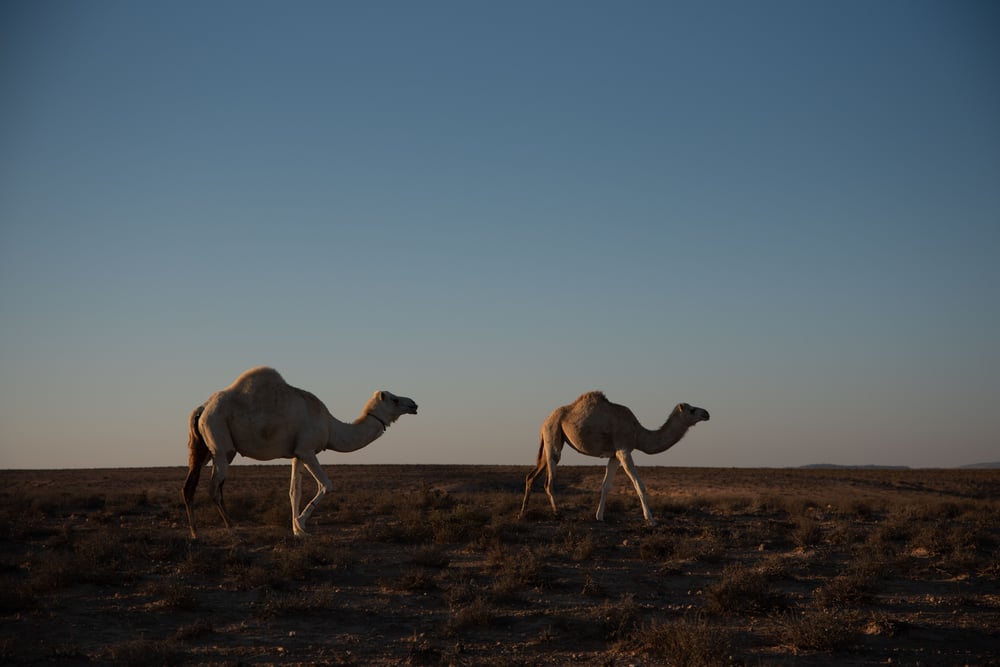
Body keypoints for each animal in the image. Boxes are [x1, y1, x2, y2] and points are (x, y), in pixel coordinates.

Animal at [181, 366, 417, 538]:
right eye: (395, 399)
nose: (413, 404)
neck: (331, 427)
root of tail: (202, 408)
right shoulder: (308, 450)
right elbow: (326, 485)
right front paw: (302, 524)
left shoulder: (297, 453)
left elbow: (294, 491)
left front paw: (297, 530)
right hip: (221, 443)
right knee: (214, 487)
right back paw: (232, 527)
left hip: (205, 448)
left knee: (190, 486)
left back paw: (194, 533)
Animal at [519, 391, 709, 526]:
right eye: (692, 409)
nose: (706, 413)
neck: (638, 433)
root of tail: (544, 421)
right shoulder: (624, 450)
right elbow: (639, 485)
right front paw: (651, 520)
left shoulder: (614, 455)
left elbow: (606, 486)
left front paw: (599, 516)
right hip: (553, 433)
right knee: (548, 479)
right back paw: (557, 513)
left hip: (552, 439)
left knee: (531, 476)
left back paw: (522, 513)